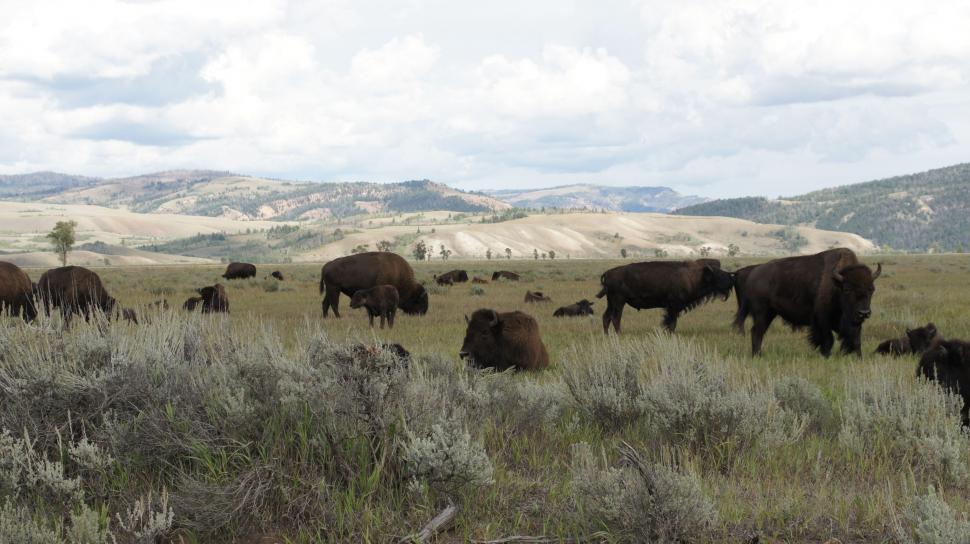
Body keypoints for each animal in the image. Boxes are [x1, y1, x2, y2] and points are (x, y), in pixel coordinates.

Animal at [597, 259, 734, 334]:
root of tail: (608, 273)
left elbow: (671, 323)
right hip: (619, 302)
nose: (731, 279)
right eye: (718, 275)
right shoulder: (673, 306)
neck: (694, 277)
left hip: (611, 302)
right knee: (615, 318)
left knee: (606, 317)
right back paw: (619, 335)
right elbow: (672, 323)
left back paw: (607, 336)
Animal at [735, 248, 881, 357]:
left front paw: (858, 357)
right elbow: (828, 340)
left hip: (769, 314)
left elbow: (856, 340)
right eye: (847, 289)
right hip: (762, 313)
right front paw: (826, 356)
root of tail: (753, 274)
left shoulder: (854, 323)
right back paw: (757, 355)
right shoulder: (822, 320)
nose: (864, 312)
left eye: (872, 289)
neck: (836, 284)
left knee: (757, 332)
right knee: (757, 332)